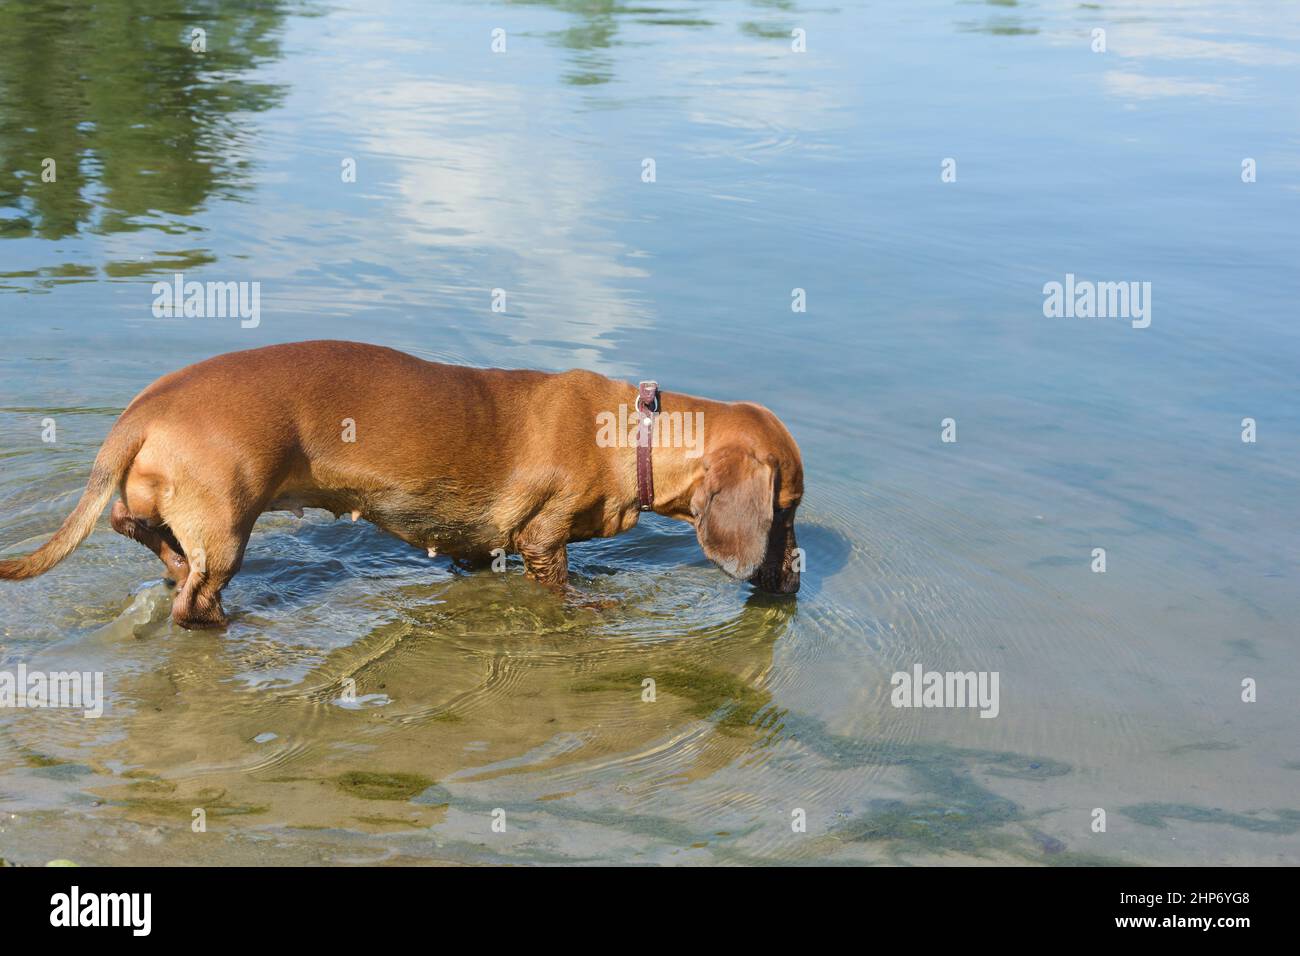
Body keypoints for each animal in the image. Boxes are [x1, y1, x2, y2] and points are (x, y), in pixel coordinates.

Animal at [0, 343, 800, 629]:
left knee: (133, 527)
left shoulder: (479, 544)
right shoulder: (542, 537)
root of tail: (143, 410)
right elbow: (563, 583)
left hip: (180, 513)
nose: (793, 581)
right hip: (229, 526)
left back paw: (171, 564)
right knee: (192, 599)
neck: (631, 433)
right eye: (786, 510)